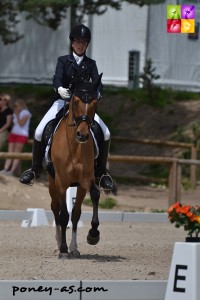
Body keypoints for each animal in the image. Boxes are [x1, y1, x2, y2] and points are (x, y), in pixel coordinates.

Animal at [47, 74, 102, 258]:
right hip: (52, 183)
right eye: (76, 101)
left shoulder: (85, 181)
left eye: (95, 102)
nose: (82, 135)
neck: (75, 146)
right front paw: (63, 249)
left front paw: (92, 235)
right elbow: (64, 215)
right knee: (55, 209)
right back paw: (58, 245)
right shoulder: (61, 183)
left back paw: (73, 247)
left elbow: (81, 210)